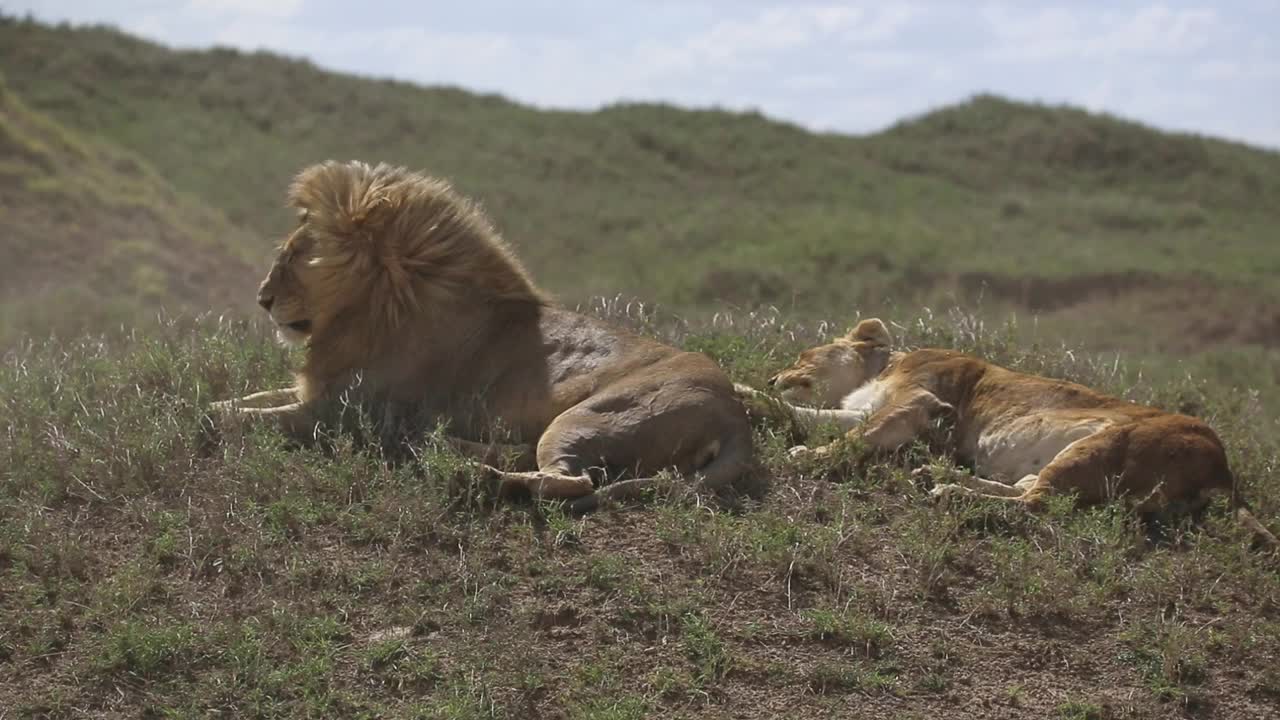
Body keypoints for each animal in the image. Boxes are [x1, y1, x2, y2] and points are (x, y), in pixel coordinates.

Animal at [208, 162, 747, 509]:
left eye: (297, 257)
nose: (262, 298)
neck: (370, 307)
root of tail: (736, 415)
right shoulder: (320, 392)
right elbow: (243, 400)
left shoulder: (338, 414)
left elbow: (236, 417)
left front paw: (204, 421)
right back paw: (451, 449)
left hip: (587, 417)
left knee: (573, 484)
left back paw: (477, 477)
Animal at [747, 316, 1269, 545]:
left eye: (802, 355)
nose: (772, 375)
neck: (879, 369)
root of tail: (1224, 465)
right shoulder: (871, 410)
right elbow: (807, 415)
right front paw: (752, 394)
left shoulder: (920, 402)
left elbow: (852, 437)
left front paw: (809, 456)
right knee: (1028, 489)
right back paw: (939, 478)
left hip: (1104, 443)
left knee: (1037, 504)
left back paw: (949, 491)